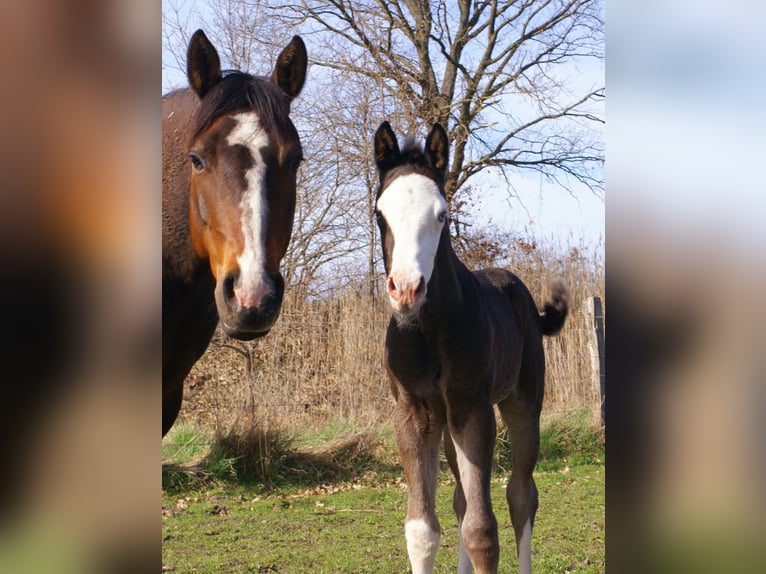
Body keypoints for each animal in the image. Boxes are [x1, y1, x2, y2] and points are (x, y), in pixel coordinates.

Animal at [373, 121, 568, 574]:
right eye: (379, 213)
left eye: (442, 215)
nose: (406, 289)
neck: (427, 330)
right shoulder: (413, 414)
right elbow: (423, 530)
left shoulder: (473, 408)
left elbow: (482, 532)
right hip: (448, 423)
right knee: (462, 501)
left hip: (522, 404)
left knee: (521, 495)